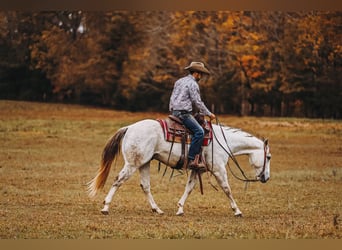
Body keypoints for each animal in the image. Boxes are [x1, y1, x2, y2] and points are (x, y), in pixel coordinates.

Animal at [88, 118, 272, 216]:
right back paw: (105, 207)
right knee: (118, 180)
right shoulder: (218, 169)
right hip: (133, 164)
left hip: (144, 163)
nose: (266, 178)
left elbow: (189, 188)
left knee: (145, 186)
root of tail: (129, 128)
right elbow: (227, 189)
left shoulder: (196, 169)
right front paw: (237, 211)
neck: (222, 141)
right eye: (268, 157)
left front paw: (180, 209)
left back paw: (157, 209)